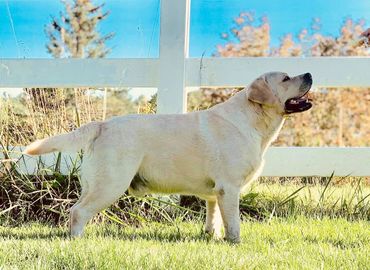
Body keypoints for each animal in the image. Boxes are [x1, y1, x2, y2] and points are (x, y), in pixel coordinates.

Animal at [24, 71, 312, 243]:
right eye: (286, 78)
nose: (309, 73)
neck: (253, 120)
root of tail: (102, 124)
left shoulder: (215, 193)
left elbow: (214, 218)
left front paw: (212, 236)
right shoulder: (229, 188)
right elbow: (234, 223)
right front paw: (235, 243)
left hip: (94, 183)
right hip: (111, 184)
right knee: (78, 212)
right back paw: (76, 240)